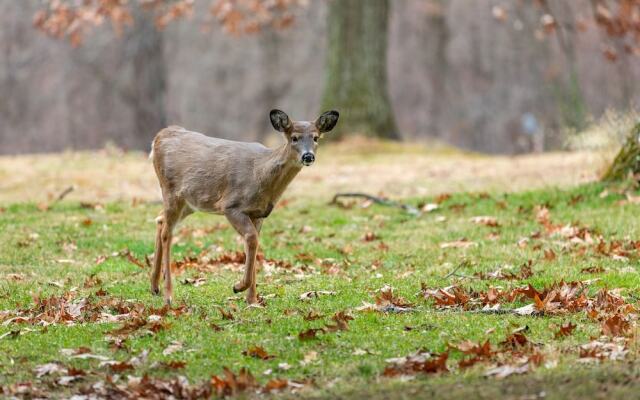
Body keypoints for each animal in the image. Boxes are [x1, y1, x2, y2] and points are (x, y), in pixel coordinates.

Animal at [150, 108, 340, 304]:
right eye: (294, 138)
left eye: (316, 137)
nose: (308, 156)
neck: (260, 174)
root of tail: (160, 136)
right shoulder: (231, 205)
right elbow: (251, 238)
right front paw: (238, 286)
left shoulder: (258, 213)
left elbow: (254, 244)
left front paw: (252, 300)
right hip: (170, 191)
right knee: (167, 234)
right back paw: (168, 295)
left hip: (189, 202)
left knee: (160, 219)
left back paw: (155, 287)